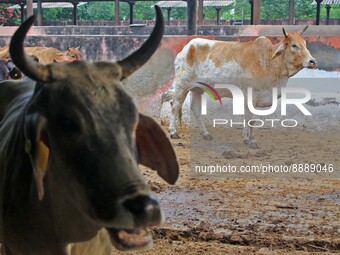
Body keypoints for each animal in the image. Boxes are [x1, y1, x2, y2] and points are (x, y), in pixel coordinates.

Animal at [169, 26, 318, 147]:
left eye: (305, 44)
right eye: (294, 45)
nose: (312, 61)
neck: (269, 62)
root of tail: (187, 47)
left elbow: (247, 117)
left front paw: (246, 139)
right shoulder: (252, 95)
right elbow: (251, 119)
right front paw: (252, 141)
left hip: (197, 89)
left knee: (196, 109)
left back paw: (206, 134)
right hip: (182, 85)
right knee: (175, 105)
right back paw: (173, 132)